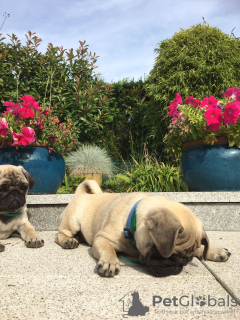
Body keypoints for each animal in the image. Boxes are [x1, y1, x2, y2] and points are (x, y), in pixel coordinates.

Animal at [55, 180, 231, 278]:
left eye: (188, 259)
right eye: (167, 256)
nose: (180, 266)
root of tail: (80, 194)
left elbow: (200, 248)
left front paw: (214, 251)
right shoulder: (102, 239)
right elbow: (108, 250)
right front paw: (110, 262)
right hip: (73, 221)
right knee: (60, 234)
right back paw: (69, 241)